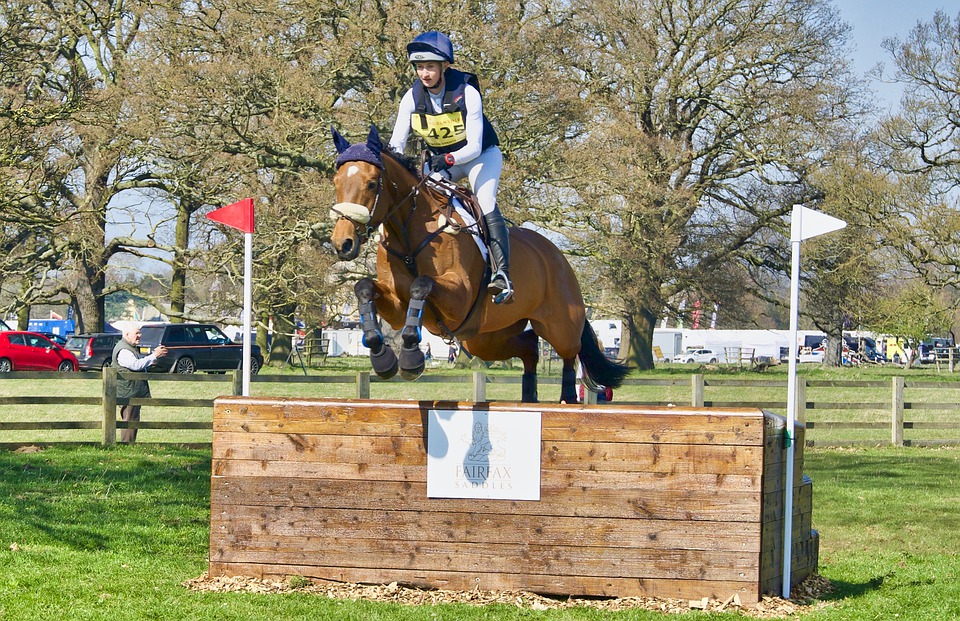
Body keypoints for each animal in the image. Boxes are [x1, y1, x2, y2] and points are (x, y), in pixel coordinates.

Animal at [330, 126, 632, 402]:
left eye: (372, 183)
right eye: (336, 182)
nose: (342, 243)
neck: (409, 235)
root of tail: (557, 255)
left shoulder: (459, 296)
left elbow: (422, 284)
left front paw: (411, 359)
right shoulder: (395, 305)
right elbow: (364, 287)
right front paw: (382, 358)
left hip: (559, 325)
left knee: (570, 354)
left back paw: (567, 399)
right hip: (484, 338)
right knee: (530, 348)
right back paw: (529, 397)